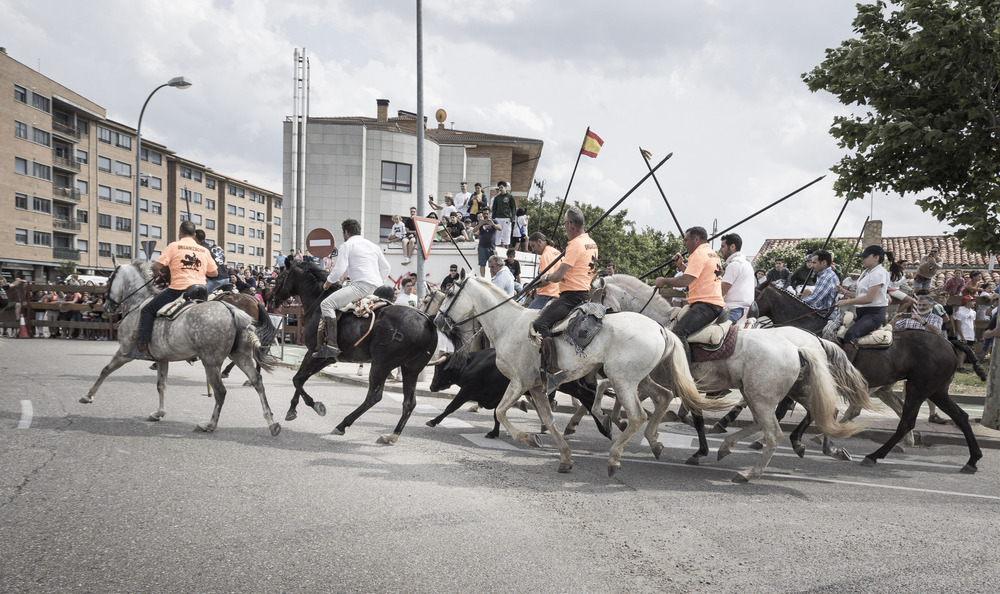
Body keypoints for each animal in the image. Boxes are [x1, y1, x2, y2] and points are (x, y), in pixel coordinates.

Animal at [81, 256, 282, 434]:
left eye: (109, 280)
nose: (106, 307)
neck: (137, 305)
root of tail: (232, 309)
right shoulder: (162, 359)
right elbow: (161, 385)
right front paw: (159, 412)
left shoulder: (124, 353)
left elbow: (105, 370)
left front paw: (88, 396)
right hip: (240, 356)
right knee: (257, 381)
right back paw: (271, 422)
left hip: (211, 362)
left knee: (220, 392)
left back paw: (210, 424)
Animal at [266, 262, 438, 442]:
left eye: (280, 277)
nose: (270, 299)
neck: (318, 303)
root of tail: (427, 321)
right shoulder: (326, 358)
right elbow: (301, 378)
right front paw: (292, 410)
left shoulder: (314, 353)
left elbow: (297, 379)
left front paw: (315, 405)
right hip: (411, 369)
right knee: (409, 402)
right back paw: (392, 435)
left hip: (381, 365)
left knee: (374, 397)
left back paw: (342, 425)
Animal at [434, 276, 732, 474]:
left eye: (448, 294)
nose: (437, 321)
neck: (509, 324)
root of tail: (661, 329)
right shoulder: (537, 386)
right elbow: (548, 418)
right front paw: (564, 456)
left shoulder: (521, 382)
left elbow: (500, 411)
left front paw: (527, 438)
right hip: (641, 378)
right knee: (664, 397)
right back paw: (655, 442)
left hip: (622, 379)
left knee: (638, 415)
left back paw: (615, 456)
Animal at [596, 276, 872, 478]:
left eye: (596, 296)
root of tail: (810, 343)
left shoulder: (665, 381)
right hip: (793, 390)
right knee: (821, 413)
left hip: (765, 393)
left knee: (778, 426)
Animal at [756, 282, 984, 472]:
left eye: (756, 291)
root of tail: (949, 343)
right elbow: (785, 411)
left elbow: (790, 411)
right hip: (936, 390)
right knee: (961, 417)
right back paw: (972, 460)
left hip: (918, 389)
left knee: (906, 422)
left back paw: (874, 455)